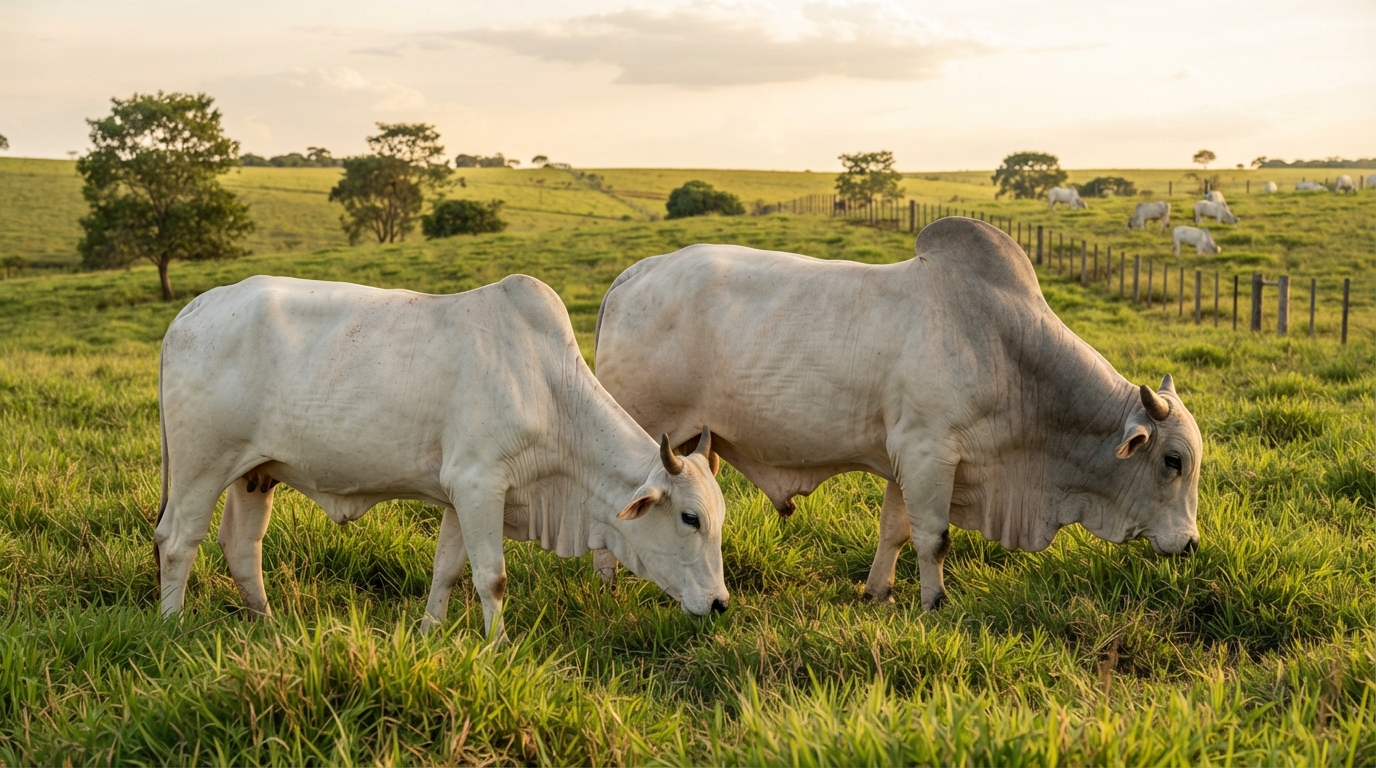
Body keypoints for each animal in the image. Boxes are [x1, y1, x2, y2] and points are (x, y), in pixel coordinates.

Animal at [155, 275, 730, 639]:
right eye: (690, 518)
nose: (720, 602)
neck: (548, 389)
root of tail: (194, 308)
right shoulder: (480, 484)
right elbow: (492, 577)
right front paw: (499, 648)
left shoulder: (461, 495)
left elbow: (447, 571)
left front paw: (430, 632)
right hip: (200, 467)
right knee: (178, 542)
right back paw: (171, 626)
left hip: (254, 473)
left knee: (241, 546)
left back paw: (268, 624)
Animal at [591, 218, 1202, 611]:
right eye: (1173, 461)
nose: (1192, 544)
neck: (1007, 351)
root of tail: (635, 273)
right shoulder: (930, 452)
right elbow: (933, 537)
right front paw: (934, 602)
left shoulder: (902, 460)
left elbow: (895, 531)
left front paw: (878, 592)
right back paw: (609, 588)